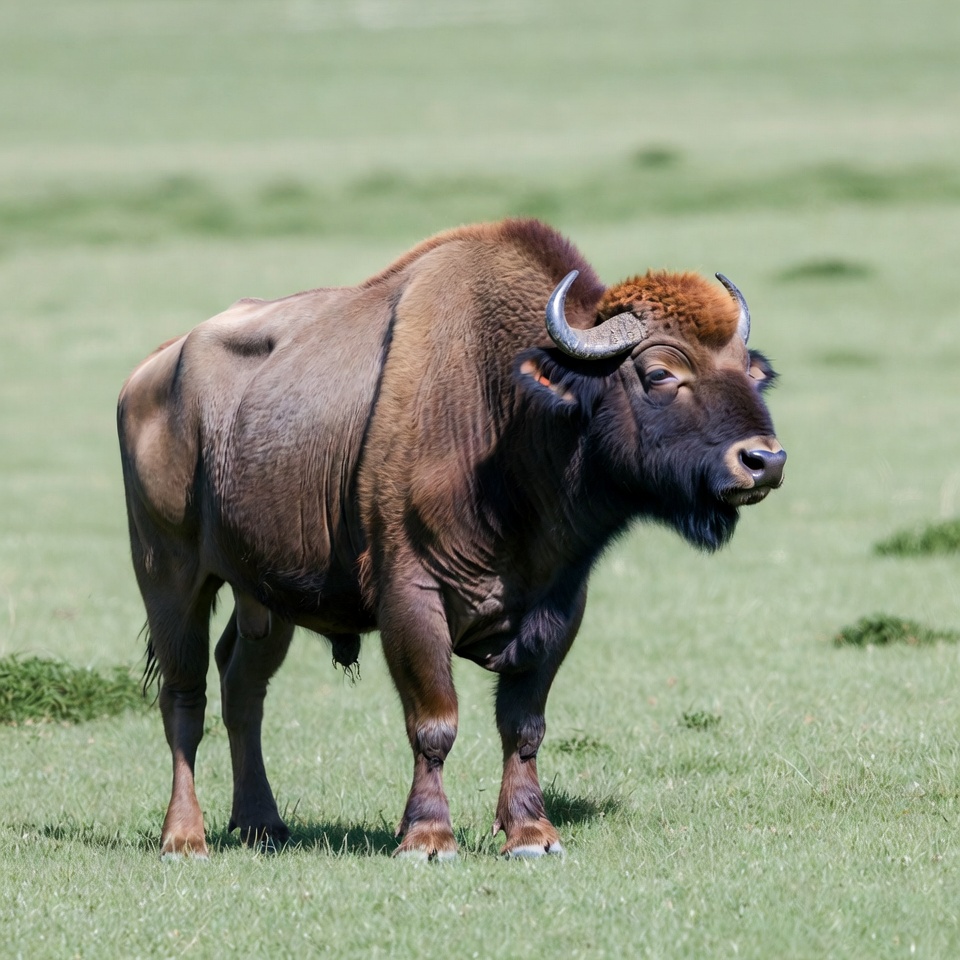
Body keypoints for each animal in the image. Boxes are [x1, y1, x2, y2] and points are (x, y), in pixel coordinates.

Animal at [117, 218, 785, 859]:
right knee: (184, 698)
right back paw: (185, 840)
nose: (764, 461)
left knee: (242, 688)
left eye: (750, 371)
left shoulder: (557, 610)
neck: (507, 413)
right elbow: (434, 722)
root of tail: (147, 373)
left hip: (264, 600)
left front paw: (531, 834)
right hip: (170, 579)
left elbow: (523, 726)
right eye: (659, 372)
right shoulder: (410, 599)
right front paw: (428, 839)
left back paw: (262, 825)